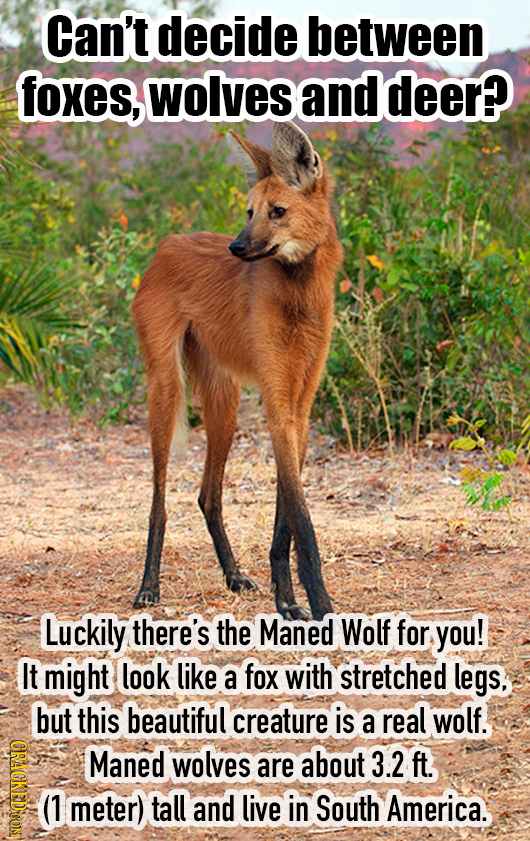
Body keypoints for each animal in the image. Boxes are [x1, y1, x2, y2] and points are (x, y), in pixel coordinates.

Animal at [132, 121, 344, 621]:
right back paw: (149, 588)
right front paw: (320, 605)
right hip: (167, 388)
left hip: (224, 403)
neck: (298, 293)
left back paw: (233, 576)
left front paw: (286, 599)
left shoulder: (300, 405)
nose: (236, 246)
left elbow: (287, 513)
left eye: (277, 212)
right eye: (249, 212)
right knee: (159, 500)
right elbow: (303, 521)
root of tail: (166, 244)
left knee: (208, 494)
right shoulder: (277, 401)